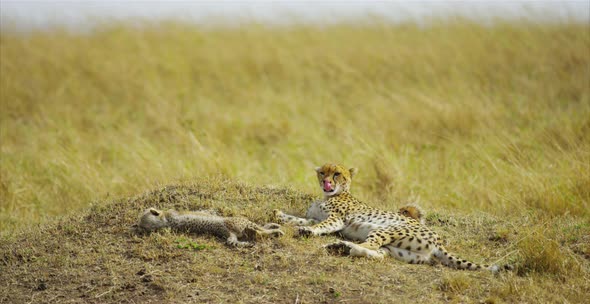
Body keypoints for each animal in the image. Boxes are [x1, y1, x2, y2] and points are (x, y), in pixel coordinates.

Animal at [140, 207, 286, 247]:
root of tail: (229, 232)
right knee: (262, 230)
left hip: (235, 235)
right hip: (244, 222)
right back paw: (276, 229)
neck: (163, 221)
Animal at [276, 165, 502, 272]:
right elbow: (302, 220)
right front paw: (281, 215)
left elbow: (319, 225)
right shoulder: (317, 217)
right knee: (377, 253)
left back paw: (340, 245)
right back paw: (342, 248)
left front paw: (308, 231)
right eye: (322, 172)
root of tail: (439, 241)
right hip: (401, 251)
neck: (330, 195)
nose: (326, 182)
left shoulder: (337, 219)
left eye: (337, 174)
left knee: (371, 245)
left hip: (386, 229)